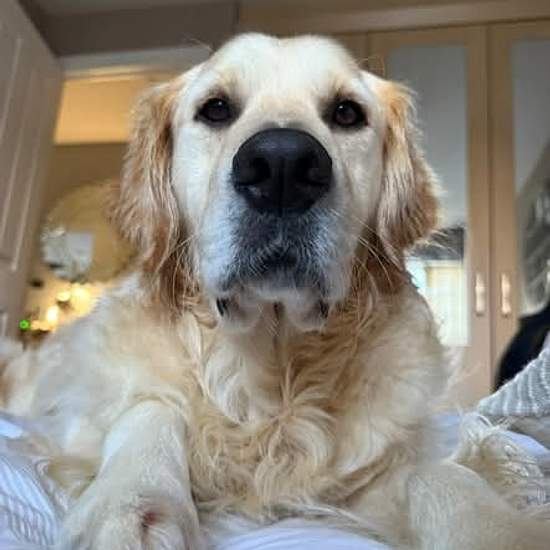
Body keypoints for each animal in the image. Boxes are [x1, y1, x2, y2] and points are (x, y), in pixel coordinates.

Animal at [1, 33, 549, 549]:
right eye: (216, 108)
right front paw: (130, 506)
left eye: (347, 113)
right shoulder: (84, 416)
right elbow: (150, 410)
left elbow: (439, 474)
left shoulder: (362, 478)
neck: (271, 369)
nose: (283, 164)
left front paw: (496, 528)